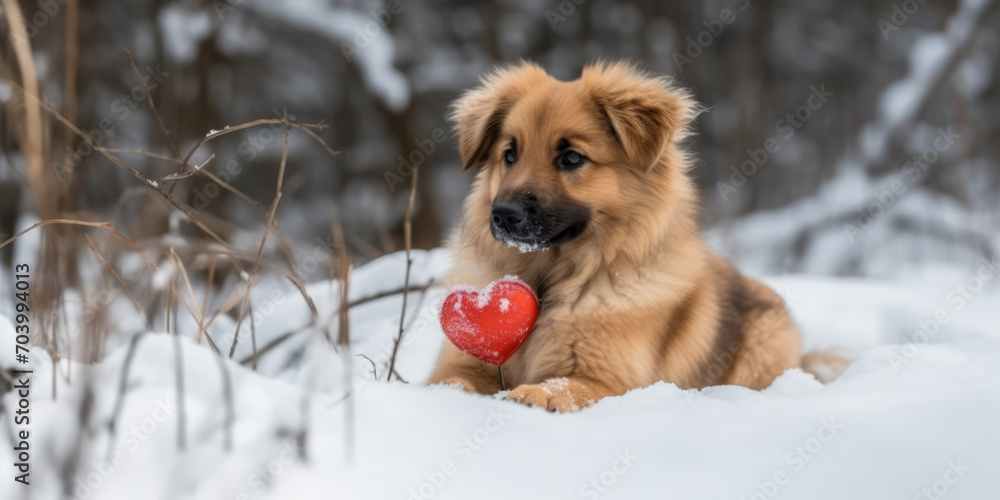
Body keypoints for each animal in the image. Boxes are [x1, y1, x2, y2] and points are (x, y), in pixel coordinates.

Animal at [426, 60, 848, 412]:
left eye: (572, 157)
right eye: (509, 155)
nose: (502, 216)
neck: (550, 279)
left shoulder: (612, 380)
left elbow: (564, 384)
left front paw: (537, 394)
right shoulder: (465, 360)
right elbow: (450, 380)